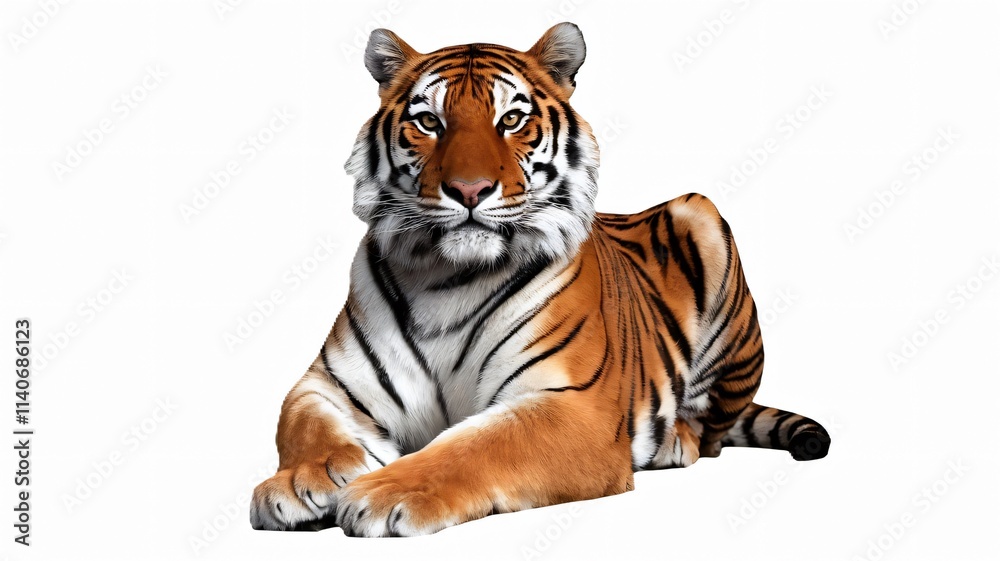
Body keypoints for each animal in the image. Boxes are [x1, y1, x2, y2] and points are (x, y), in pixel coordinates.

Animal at [250, 22, 831, 537]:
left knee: (709, 430)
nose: (469, 189)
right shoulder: (328, 384)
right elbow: (302, 423)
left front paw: (385, 491)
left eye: (510, 119)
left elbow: (473, 445)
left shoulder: (573, 404)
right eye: (429, 122)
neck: (446, 277)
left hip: (701, 216)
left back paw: (673, 441)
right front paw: (302, 482)